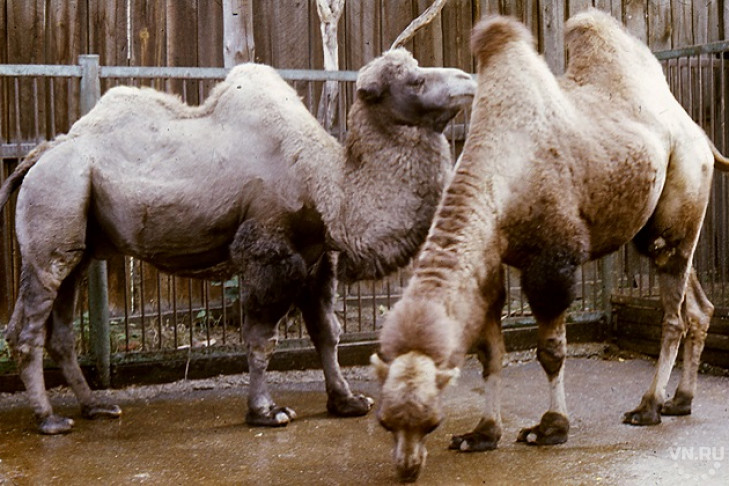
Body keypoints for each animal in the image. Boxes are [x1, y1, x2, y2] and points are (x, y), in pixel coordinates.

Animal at [0, 50, 478, 436]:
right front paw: (266, 411)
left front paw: (347, 401)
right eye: (413, 81)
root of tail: (39, 155)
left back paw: (96, 406)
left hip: (79, 242)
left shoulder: (316, 258)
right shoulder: (266, 251)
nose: (468, 79)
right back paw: (50, 419)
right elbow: (262, 337)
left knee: (61, 328)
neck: (329, 186)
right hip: (54, 213)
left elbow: (328, 332)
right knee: (27, 326)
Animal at [370, 11, 728, 482]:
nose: (407, 468)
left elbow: (551, 352)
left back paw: (648, 407)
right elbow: (490, 353)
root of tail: (700, 135)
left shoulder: (553, 261)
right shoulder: (491, 261)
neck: (503, 169)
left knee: (674, 312)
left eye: (431, 421)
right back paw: (681, 400)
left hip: (682, 193)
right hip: (657, 228)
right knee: (697, 304)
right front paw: (481, 434)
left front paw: (551, 427)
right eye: (385, 421)